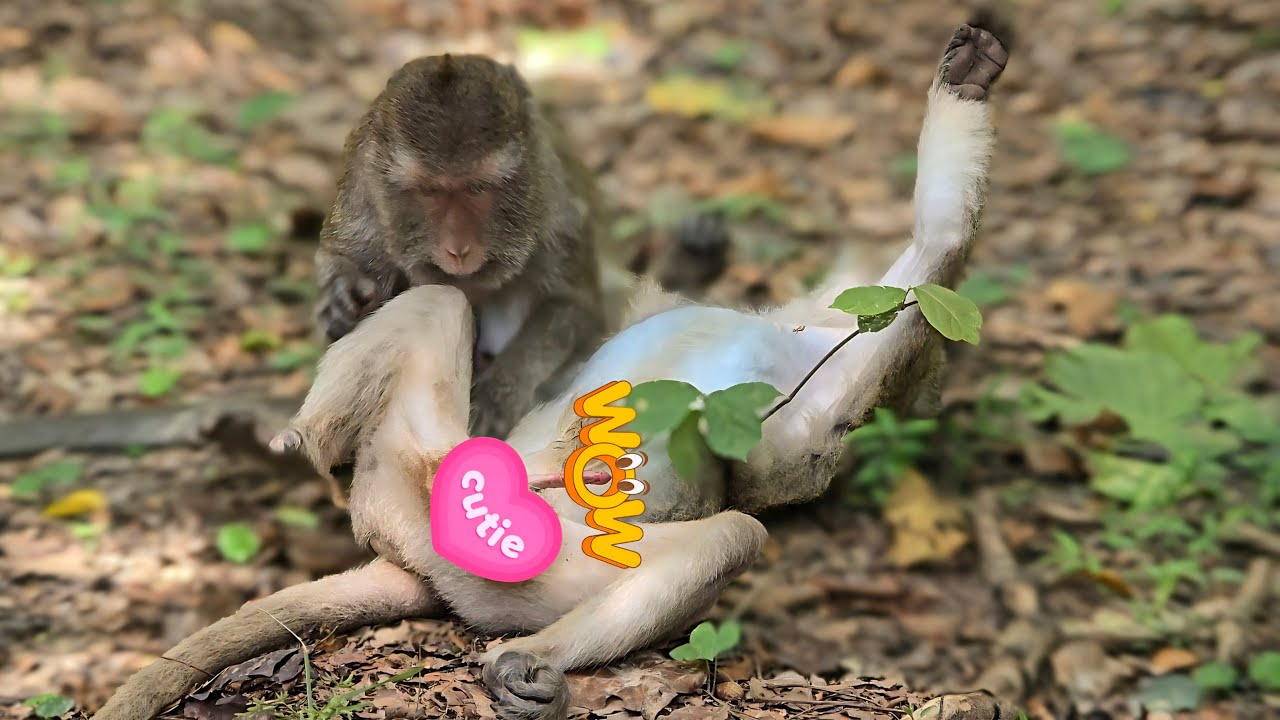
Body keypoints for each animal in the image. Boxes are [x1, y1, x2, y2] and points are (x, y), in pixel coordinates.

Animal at [93, 26, 1007, 720]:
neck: (800, 331)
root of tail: (413, 556)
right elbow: (925, 259)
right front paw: (965, 82)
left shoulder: (829, 387)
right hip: (419, 474)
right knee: (441, 302)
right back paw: (295, 444)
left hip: (514, 564)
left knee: (726, 537)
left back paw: (530, 660)